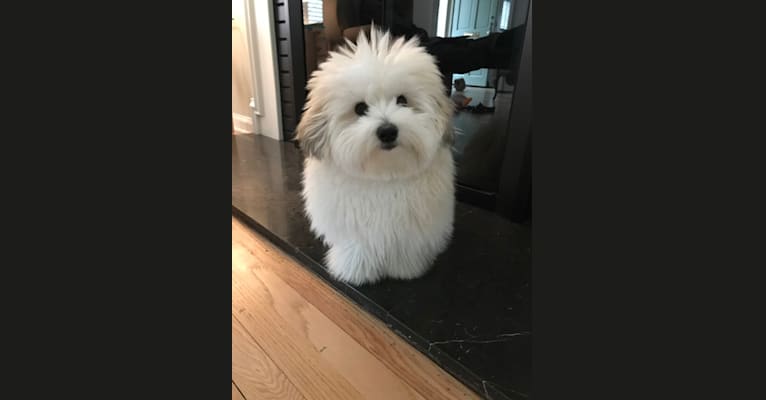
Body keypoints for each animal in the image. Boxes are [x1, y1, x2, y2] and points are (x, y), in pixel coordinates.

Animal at [298, 28, 456, 284]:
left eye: (402, 100)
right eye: (360, 108)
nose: (388, 131)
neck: (384, 174)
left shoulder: (410, 230)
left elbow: (405, 249)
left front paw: (406, 269)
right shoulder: (354, 228)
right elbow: (358, 248)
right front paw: (355, 272)